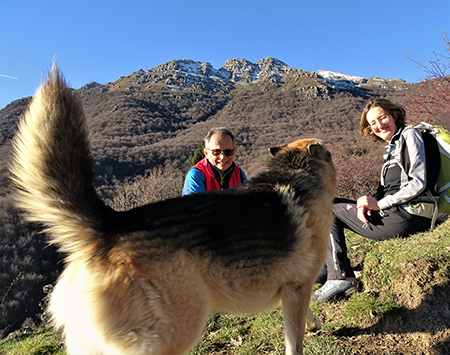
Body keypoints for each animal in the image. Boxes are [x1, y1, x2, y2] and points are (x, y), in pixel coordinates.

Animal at [8, 64, 336, 355]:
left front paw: (314, 324)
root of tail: (109, 227)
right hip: (176, 330)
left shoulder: (293, 294)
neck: (296, 173)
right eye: (330, 155)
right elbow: (295, 341)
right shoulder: (297, 289)